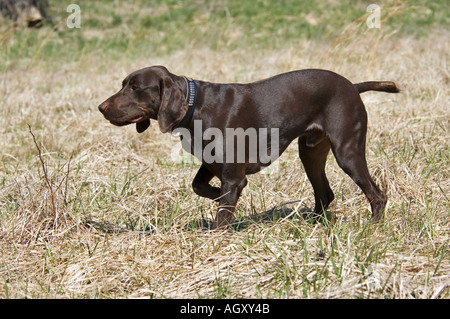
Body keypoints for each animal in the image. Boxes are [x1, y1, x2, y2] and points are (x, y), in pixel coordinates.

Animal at [97, 66, 398, 229]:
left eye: (135, 87)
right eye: (124, 84)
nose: (101, 107)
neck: (195, 106)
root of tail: (352, 86)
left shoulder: (232, 175)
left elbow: (223, 212)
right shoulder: (211, 165)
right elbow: (200, 187)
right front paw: (219, 199)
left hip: (347, 152)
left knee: (377, 195)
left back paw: (372, 228)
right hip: (310, 153)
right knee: (325, 193)